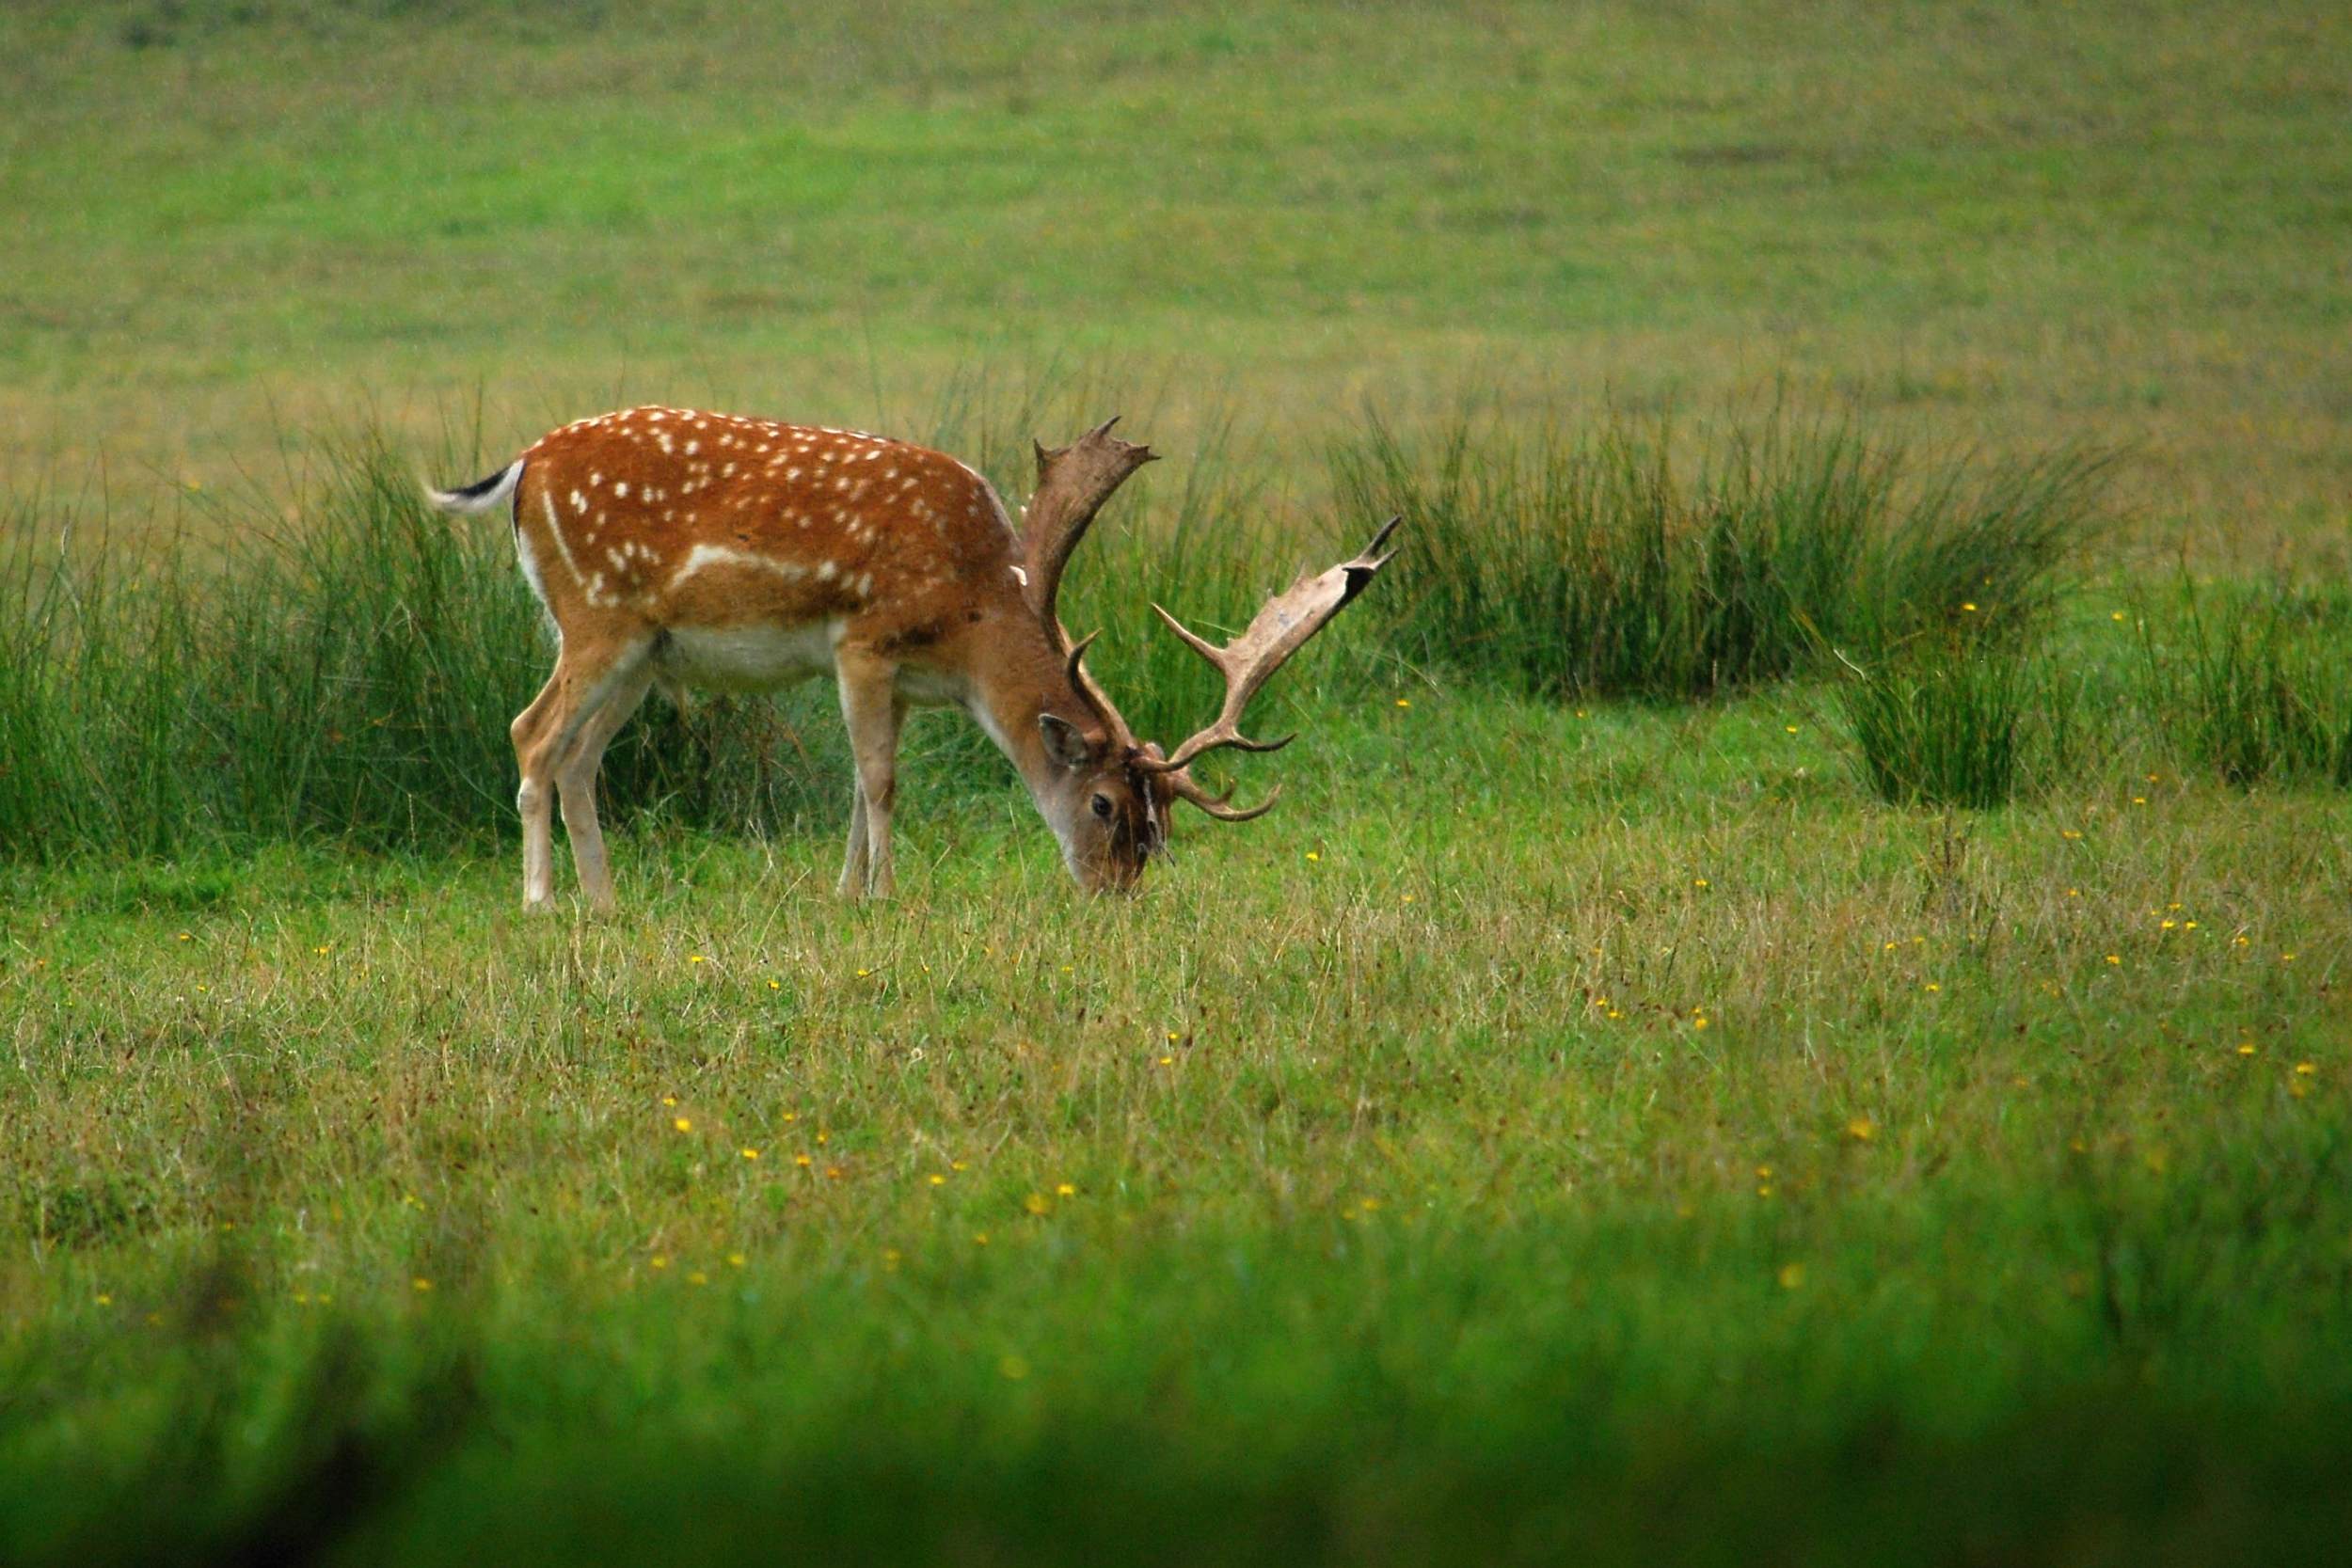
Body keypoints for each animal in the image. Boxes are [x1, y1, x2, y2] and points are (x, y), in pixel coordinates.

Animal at [428, 411, 1392, 911]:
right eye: (1106, 803)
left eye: (1164, 824)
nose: (1114, 890)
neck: (969, 618)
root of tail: (521, 469)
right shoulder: (862, 640)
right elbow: (881, 779)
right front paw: (885, 895)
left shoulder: (898, 678)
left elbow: (864, 782)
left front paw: (847, 892)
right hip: (595, 615)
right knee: (530, 732)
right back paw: (541, 902)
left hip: (645, 652)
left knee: (578, 756)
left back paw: (604, 903)